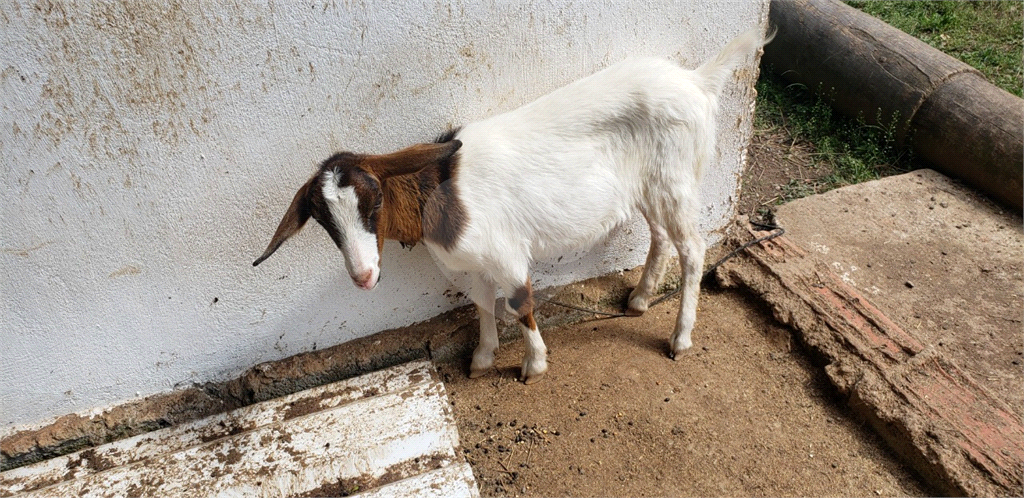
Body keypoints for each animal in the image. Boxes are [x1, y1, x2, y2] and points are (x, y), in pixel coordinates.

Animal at [253, 27, 770, 385]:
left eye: (374, 200)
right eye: (322, 221)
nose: (363, 277)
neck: (441, 195)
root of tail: (697, 80)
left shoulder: (505, 255)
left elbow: (519, 301)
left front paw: (533, 365)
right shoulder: (473, 265)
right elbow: (483, 304)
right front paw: (482, 359)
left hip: (677, 179)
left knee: (693, 249)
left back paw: (680, 338)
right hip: (647, 184)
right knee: (661, 236)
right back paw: (641, 299)